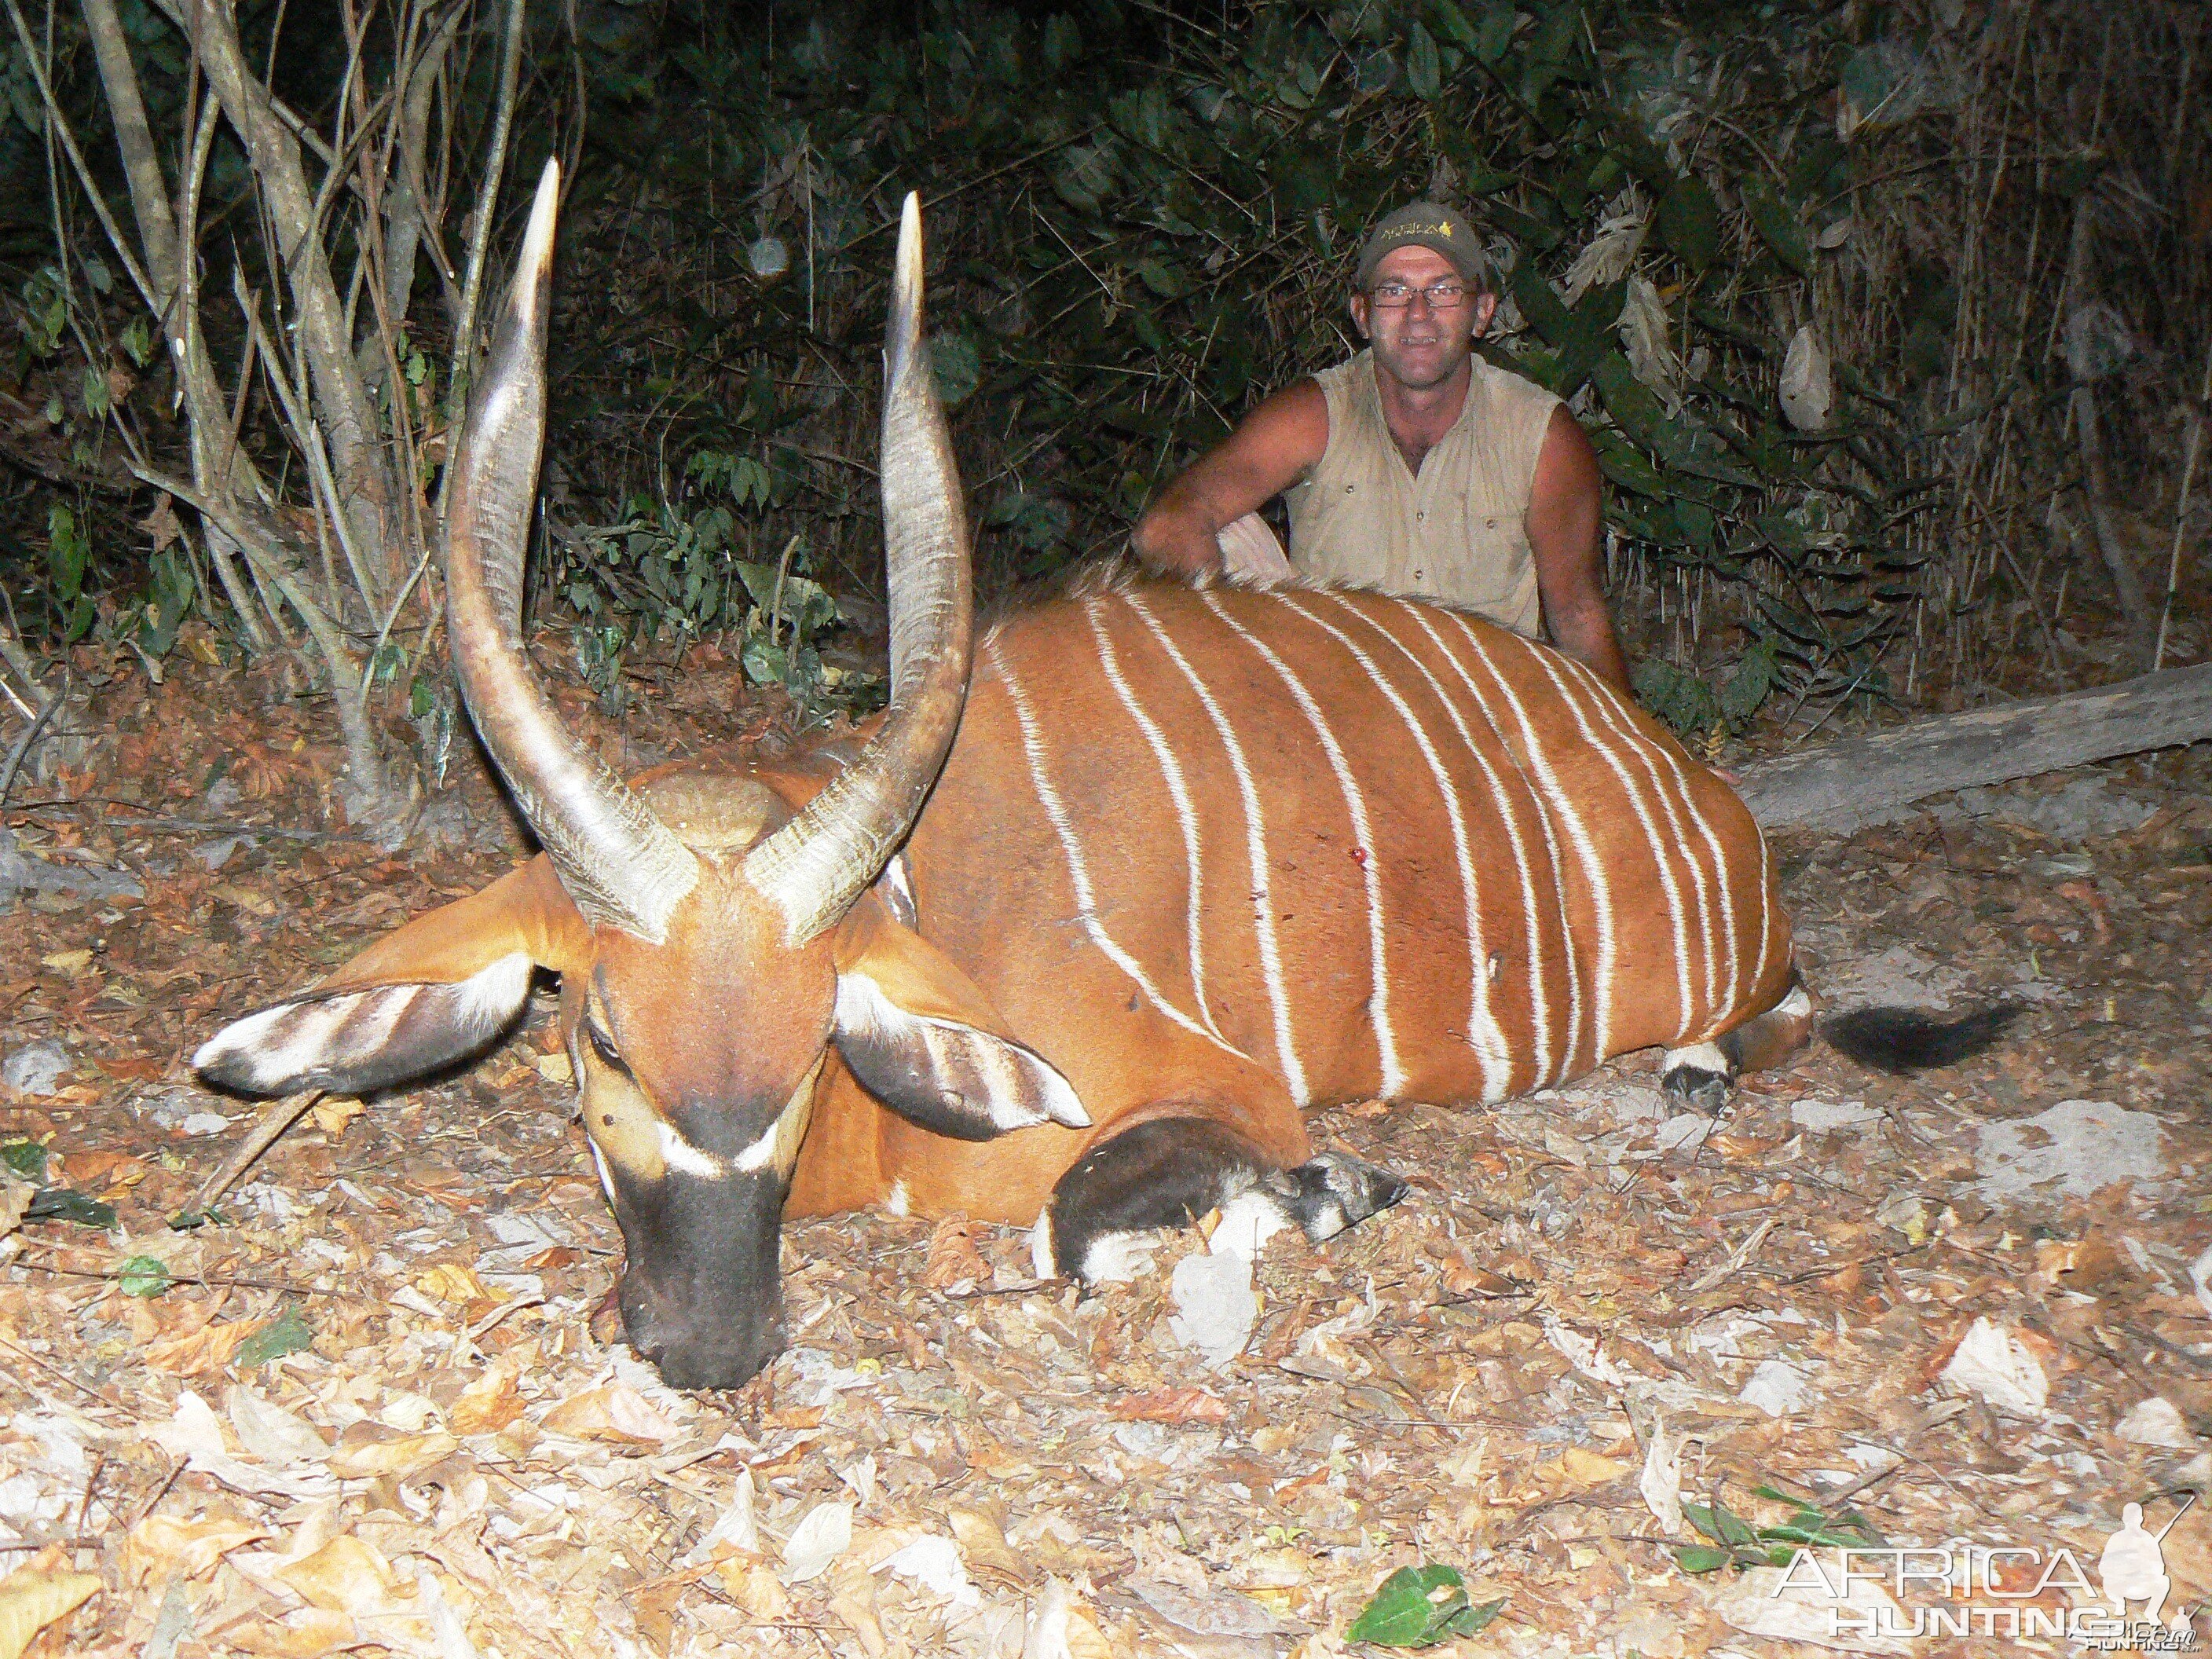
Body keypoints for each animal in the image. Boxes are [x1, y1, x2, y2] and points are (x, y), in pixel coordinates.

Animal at [203, 169, 2008, 1389]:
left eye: (812, 1044)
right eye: (601, 1037)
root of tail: (1697, 786)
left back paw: (1695, 1072)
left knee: (1789, 1013)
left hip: (1714, 969)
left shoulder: (1205, 1087)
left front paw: (1340, 1192)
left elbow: (1084, 1218)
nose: (710, 1342)